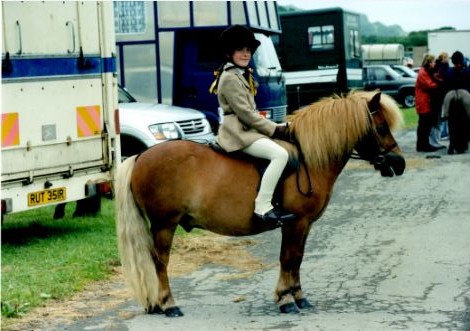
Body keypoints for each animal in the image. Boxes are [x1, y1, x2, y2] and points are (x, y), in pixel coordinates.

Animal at [115, 91, 406, 320]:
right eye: (381, 128)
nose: (399, 164)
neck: (309, 159)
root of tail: (141, 156)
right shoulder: (296, 223)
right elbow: (288, 258)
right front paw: (286, 300)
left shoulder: (304, 225)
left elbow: (297, 258)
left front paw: (299, 297)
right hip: (165, 223)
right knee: (160, 262)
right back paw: (168, 305)